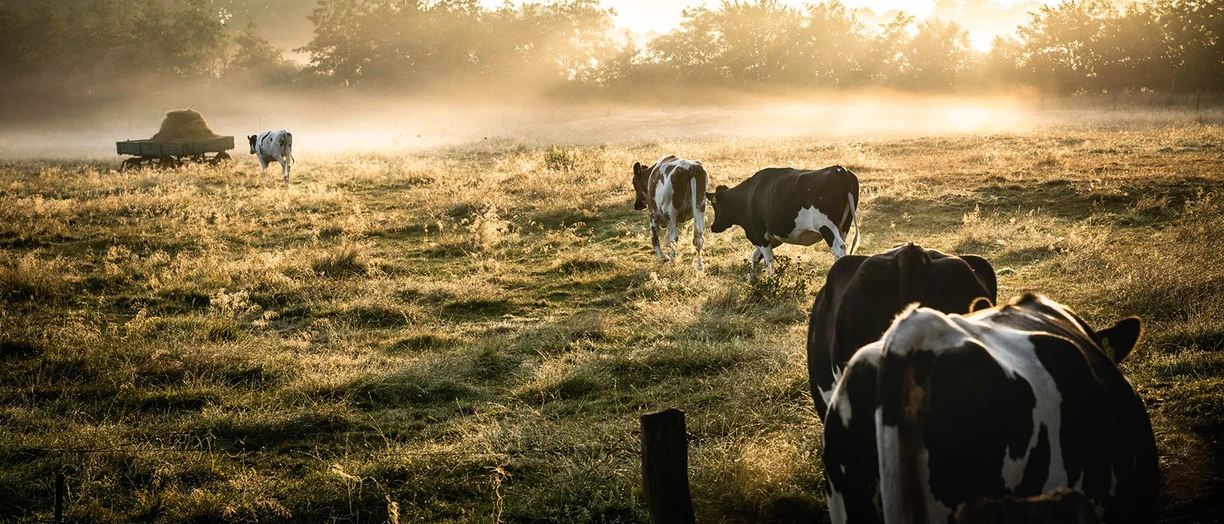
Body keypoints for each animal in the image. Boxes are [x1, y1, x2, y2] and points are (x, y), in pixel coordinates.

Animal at [705, 166, 859, 275]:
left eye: (715, 205)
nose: (713, 227)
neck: (749, 195)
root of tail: (839, 169)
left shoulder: (760, 234)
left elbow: (768, 261)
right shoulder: (772, 238)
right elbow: (755, 256)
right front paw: (752, 281)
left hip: (827, 226)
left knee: (839, 248)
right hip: (844, 226)